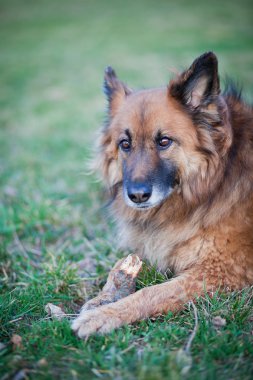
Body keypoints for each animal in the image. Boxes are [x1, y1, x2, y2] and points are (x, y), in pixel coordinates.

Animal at [71, 51, 253, 338]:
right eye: (125, 144)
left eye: (164, 141)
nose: (137, 196)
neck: (213, 183)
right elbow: (120, 268)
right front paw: (102, 299)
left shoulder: (220, 270)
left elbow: (152, 292)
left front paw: (103, 315)